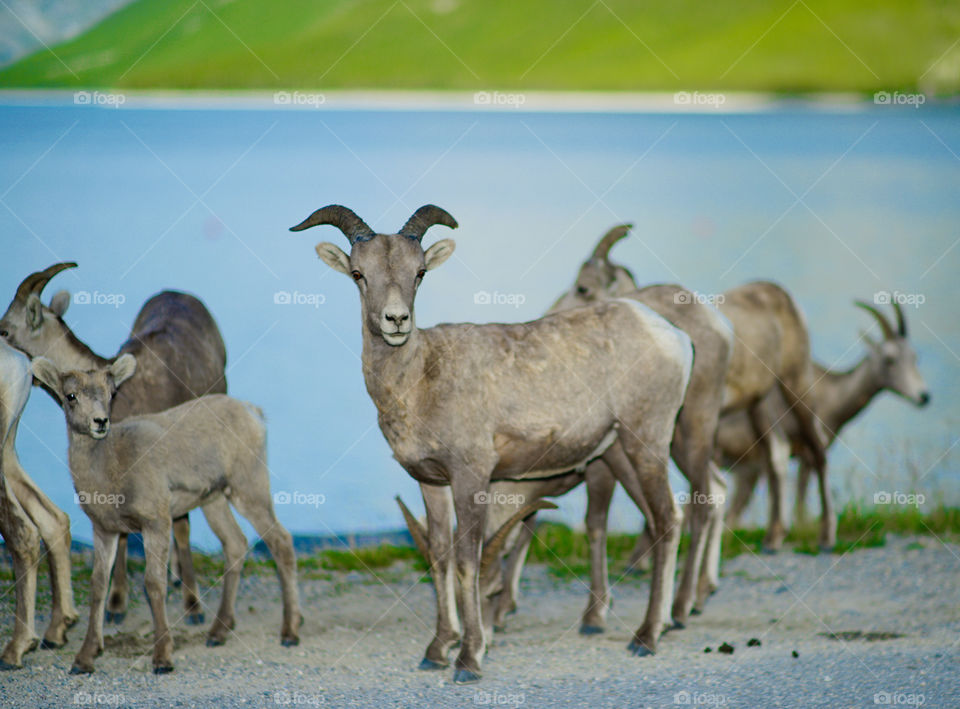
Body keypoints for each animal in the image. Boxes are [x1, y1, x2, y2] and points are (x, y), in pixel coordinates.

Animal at [0, 263, 228, 626]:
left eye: (5, 330)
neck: (123, 397)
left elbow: (180, 525)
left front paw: (193, 607)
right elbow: (120, 532)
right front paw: (116, 604)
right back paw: (174, 575)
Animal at [30, 355, 300, 674]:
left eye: (112, 392)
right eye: (70, 395)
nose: (100, 422)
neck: (112, 475)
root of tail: (254, 413)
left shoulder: (156, 519)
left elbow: (154, 583)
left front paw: (162, 658)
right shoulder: (104, 529)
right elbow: (98, 586)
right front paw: (84, 658)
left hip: (249, 484)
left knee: (281, 540)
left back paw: (290, 632)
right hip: (214, 498)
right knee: (236, 543)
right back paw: (217, 632)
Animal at [291, 204, 693, 683]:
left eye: (419, 272)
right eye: (358, 273)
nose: (396, 321)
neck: (419, 382)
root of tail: (671, 335)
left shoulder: (472, 477)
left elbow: (468, 562)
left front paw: (469, 659)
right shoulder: (431, 482)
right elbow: (441, 558)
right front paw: (436, 650)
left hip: (646, 441)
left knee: (668, 517)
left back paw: (646, 638)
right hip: (617, 455)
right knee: (658, 520)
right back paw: (656, 625)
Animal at [719, 301, 929, 549]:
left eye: (914, 357)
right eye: (889, 359)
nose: (923, 396)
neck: (831, 395)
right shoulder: (808, 455)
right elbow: (802, 497)